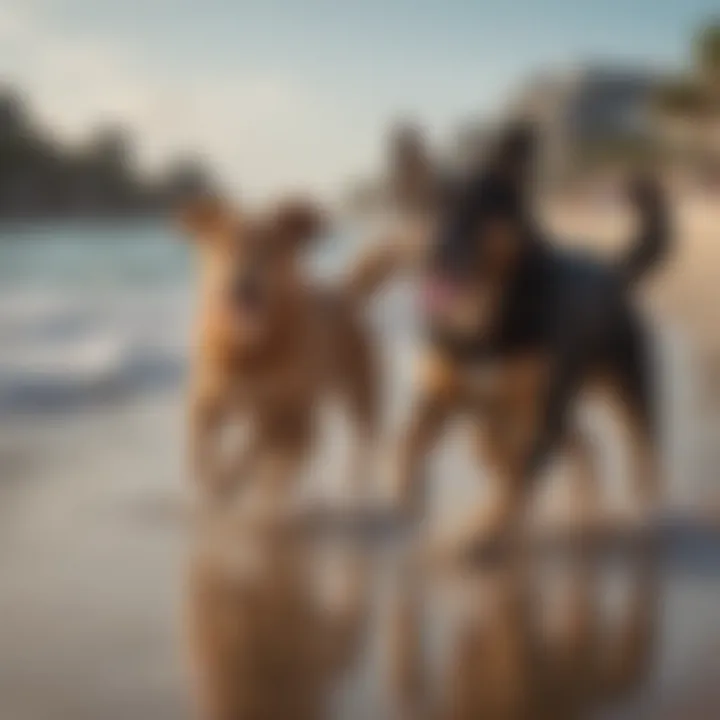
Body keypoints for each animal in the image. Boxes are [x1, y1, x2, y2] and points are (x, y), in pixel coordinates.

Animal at [179, 195, 380, 512]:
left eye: (269, 249)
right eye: (224, 245)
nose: (243, 286)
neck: (249, 352)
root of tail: (343, 295)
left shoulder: (284, 414)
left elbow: (252, 450)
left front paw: (229, 481)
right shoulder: (206, 401)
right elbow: (201, 448)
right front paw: (215, 483)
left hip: (360, 394)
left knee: (356, 440)